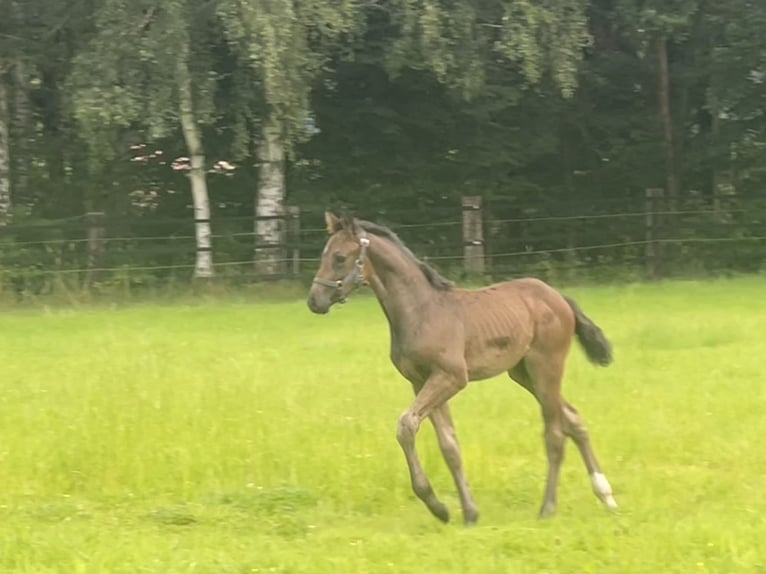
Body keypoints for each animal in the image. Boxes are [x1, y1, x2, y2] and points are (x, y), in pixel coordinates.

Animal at [306, 213, 616, 528]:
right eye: (324, 254)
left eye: (340, 257)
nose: (314, 300)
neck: (421, 311)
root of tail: (560, 298)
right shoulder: (420, 381)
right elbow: (449, 445)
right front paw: (468, 512)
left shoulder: (451, 376)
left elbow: (407, 425)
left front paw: (437, 506)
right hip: (522, 373)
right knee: (573, 418)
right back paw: (606, 495)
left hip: (545, 366)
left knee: (554, 432)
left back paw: (548, 508)